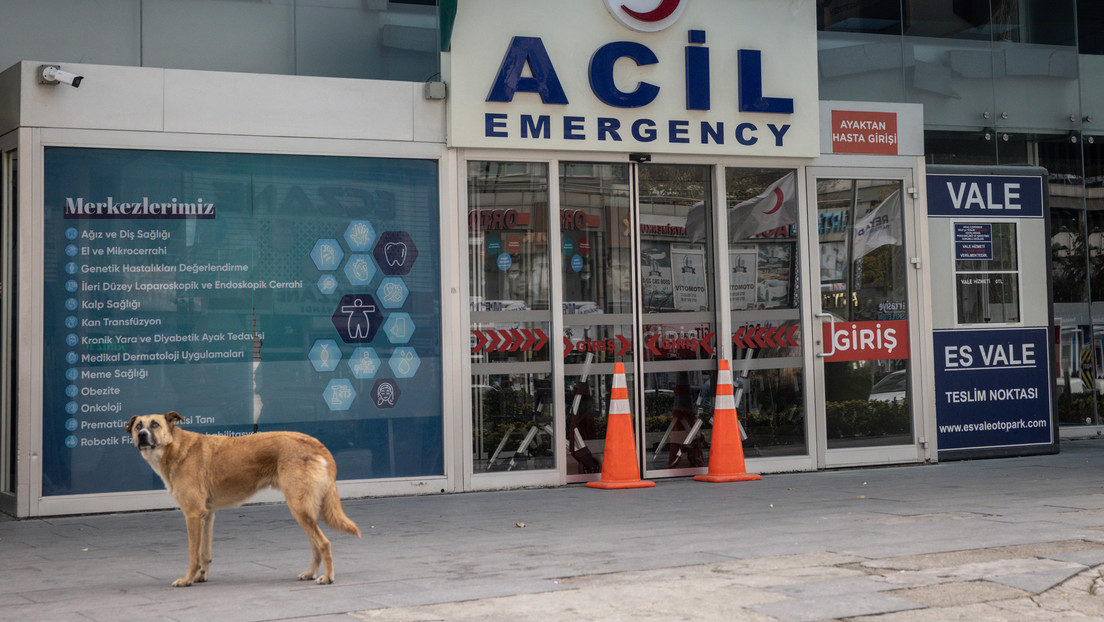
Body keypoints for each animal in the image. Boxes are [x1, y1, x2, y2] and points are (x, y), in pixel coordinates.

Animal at [125, 410, 359, 587]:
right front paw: (201, 576)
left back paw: (327, 577)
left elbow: (193, 555)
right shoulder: (207, 516)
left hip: (299, 507)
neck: (176, 448)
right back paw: (310, 573)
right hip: (303, 509)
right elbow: (204, 553)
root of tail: (316, 443)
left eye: (154, 424)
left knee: (324, 543)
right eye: (138, 426)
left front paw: (187, 580)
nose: (142, 435)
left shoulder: (192, 515)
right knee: (316, 545)